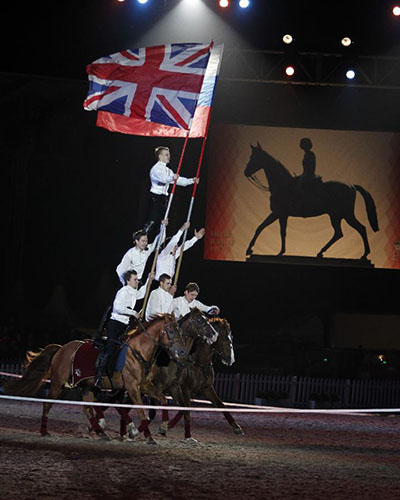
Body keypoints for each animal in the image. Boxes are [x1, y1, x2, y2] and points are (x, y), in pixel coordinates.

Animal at [5, 314, 188, 444]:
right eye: (171, 331)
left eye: (180, 331)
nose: (183, 352)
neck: (138, 352)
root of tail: (61, 349)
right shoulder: (132, 388)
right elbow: (141, 410)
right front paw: (145, 435)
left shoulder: (144, 386)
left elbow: (162, 400)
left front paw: (161, 427)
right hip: (58, 383)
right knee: (48, 404)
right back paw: (44, 431)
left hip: (87, 385)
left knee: (87, 407)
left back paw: (101, 432)